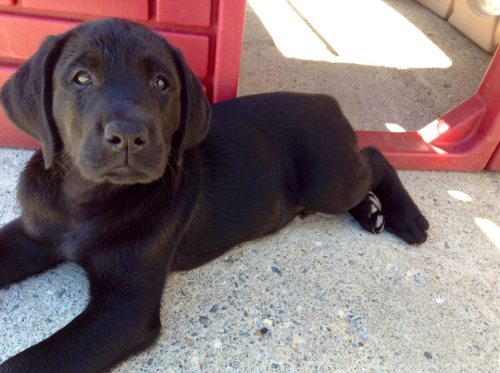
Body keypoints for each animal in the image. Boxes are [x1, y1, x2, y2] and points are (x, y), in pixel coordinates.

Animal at [0, 18, 430, 372]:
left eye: (161, 83)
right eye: (82, 77)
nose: (128, 135)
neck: (84, 201)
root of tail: (325, 99)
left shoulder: (123, 311)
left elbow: (29, 363)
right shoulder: (35, 231)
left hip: (327, 179)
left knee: (375, 158)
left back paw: (406, 217)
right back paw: (371, 212)